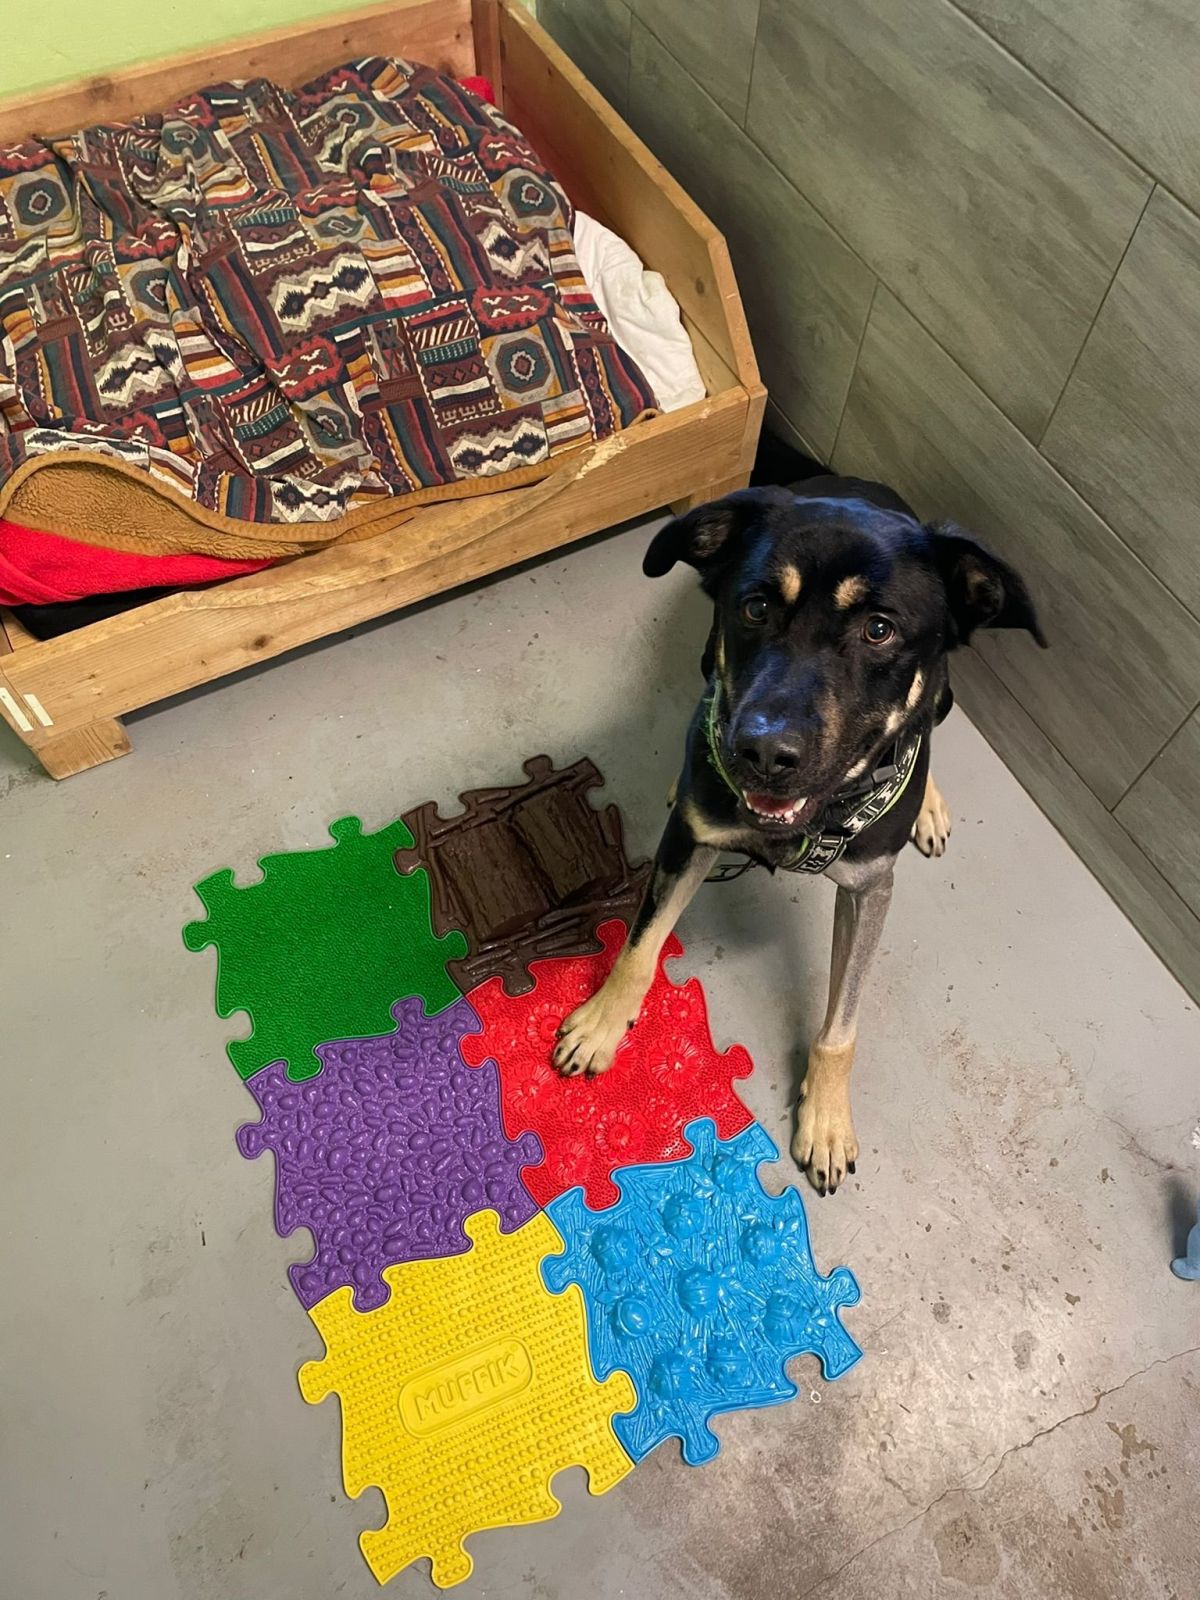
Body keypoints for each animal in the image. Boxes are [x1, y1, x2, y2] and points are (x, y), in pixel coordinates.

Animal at [552, 474, 1045, 1194]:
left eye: (878, 629)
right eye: (756, 607)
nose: (761, 753)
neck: (808, 816)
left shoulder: (870, 890)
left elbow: (841, 1024)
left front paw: (828, 1119)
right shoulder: (689, 841)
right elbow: (640, 945)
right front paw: (602, 1023)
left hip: (946, 694)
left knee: (930, 721)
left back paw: (927, 803)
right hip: (704, 656)